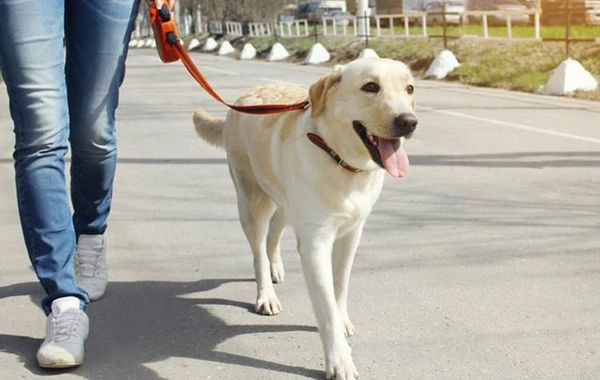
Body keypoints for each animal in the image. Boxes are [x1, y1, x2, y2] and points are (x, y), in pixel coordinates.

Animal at [193, 57, 418, 380]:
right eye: (370, 87)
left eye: (409, 88)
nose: (408, 122)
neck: (340, 161)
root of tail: (241, 100)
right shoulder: (315, 244)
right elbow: (326, 307)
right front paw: (339, 360)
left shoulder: (352, 234)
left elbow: (340, 286)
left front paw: (343, 319)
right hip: (251, 202)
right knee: (258, 250)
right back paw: (266, 294)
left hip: (286, 204)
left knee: (274, 234)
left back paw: (275, 267)